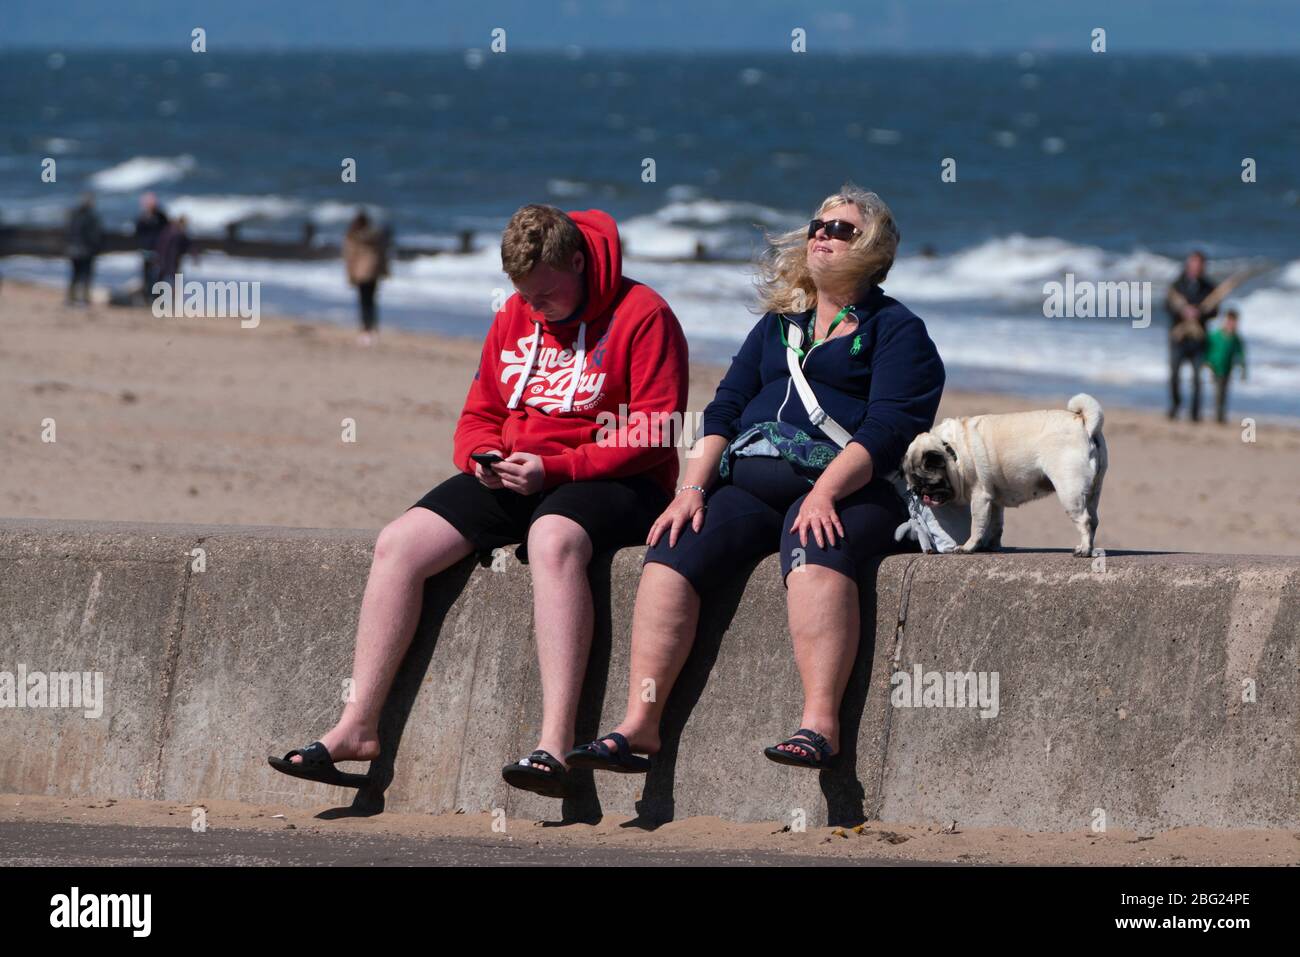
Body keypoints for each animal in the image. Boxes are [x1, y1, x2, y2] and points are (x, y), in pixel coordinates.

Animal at [904, 395, 1107, 556]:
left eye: (930, 482)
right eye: (915, 486)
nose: (921, 492)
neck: (952, 449)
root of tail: (1083, 422)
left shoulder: (980, 497)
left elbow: (977, 525)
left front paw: (968, 547)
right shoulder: (994, 501)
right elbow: (995, 526)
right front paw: (990, 546)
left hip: (1069, 491)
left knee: (1084, 520)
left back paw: (1084, 550)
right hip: (1093, 491)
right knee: (1094, 520)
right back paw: (1090, 548)